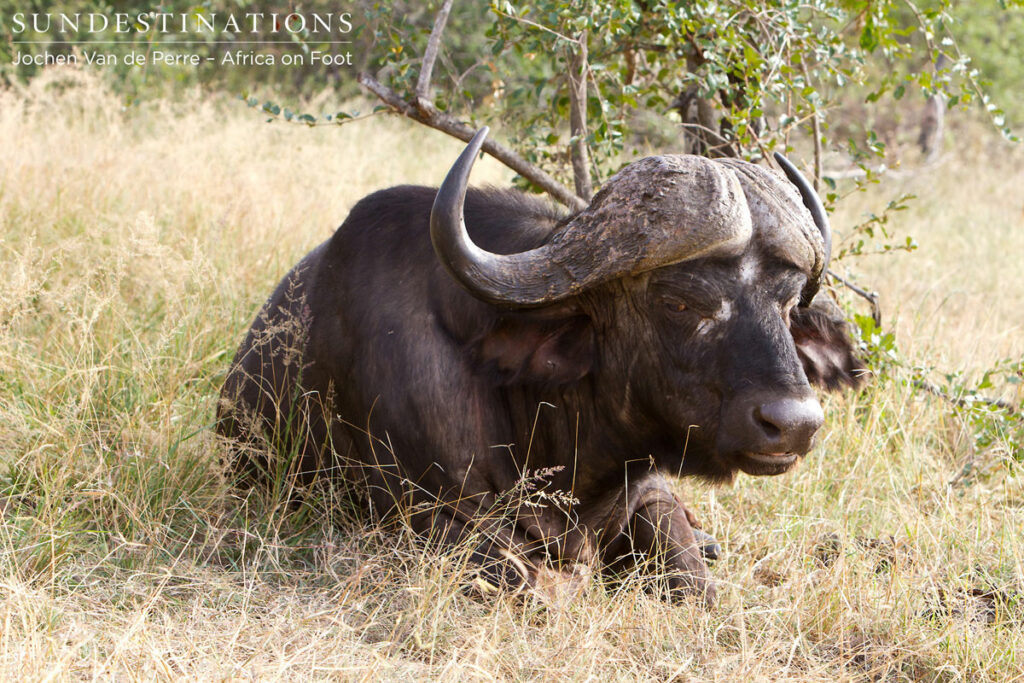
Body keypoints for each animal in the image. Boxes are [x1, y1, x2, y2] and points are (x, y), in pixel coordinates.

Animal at [217, 128, 863, 605]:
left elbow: (692, 581)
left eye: (788, 302)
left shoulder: (650, 493)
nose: (794, 424)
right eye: (680, 301)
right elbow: (536, 586)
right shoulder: (432, 518)